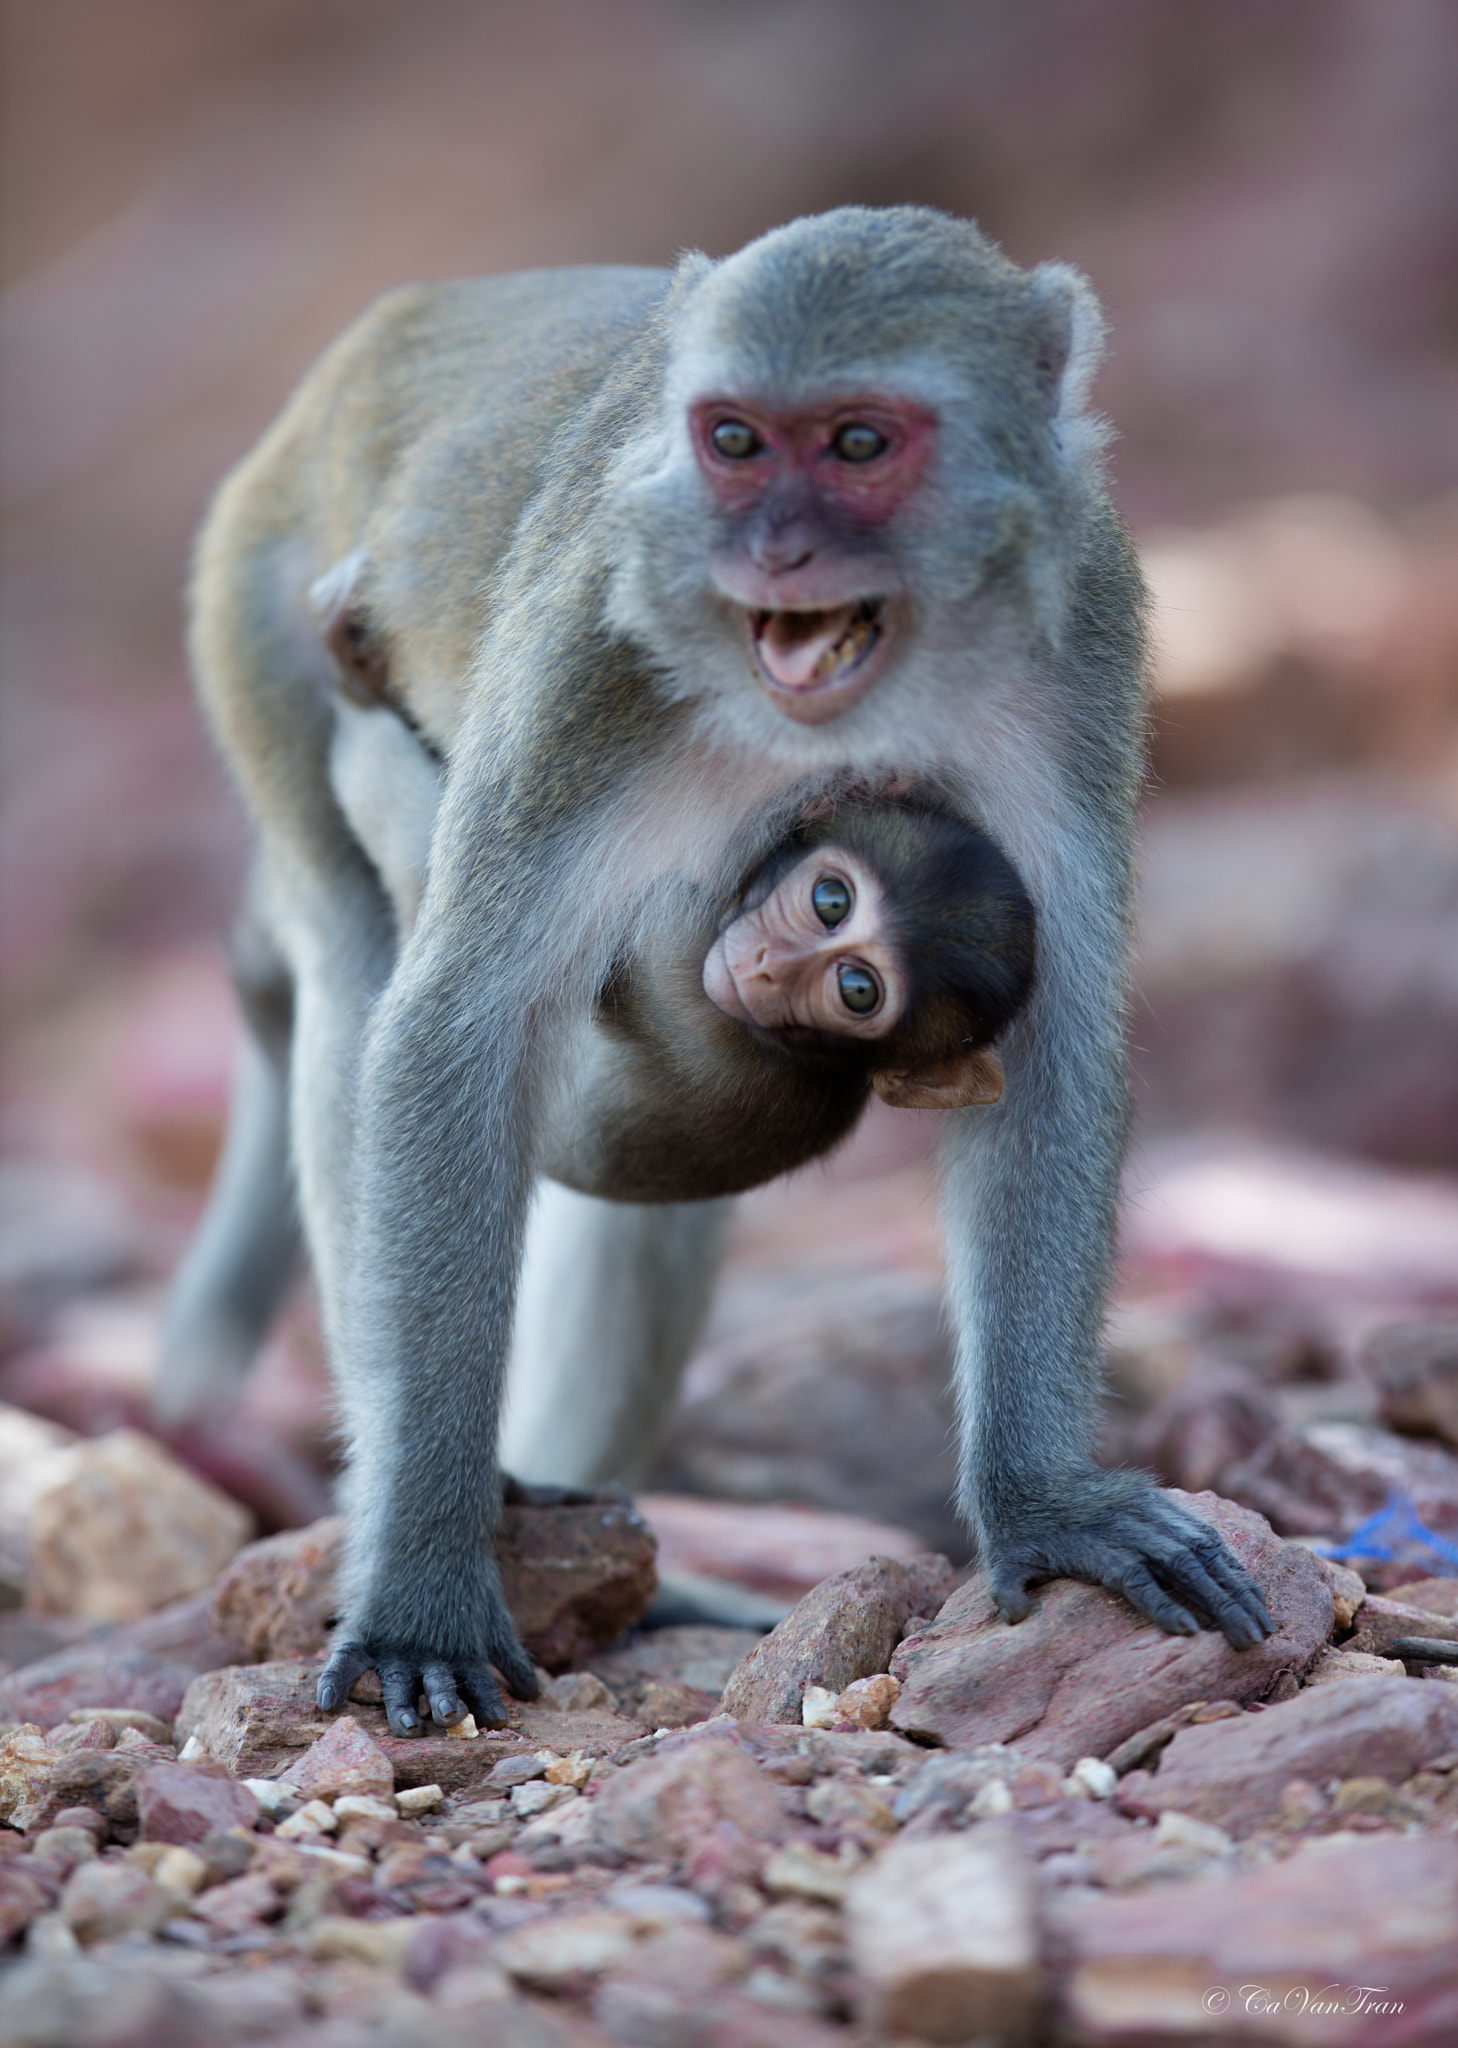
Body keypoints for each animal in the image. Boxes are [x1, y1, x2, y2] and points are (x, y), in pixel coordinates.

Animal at [166, 209, 1270, 1738]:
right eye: (734, 440)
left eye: (858, 443)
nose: (775, 550)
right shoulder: (592, 651)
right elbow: (453, 1028)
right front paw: (419, 1586)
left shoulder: (1082, 644)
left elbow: (1050, 1047)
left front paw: (1046, 1501)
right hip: (251, 596)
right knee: (354, 963)